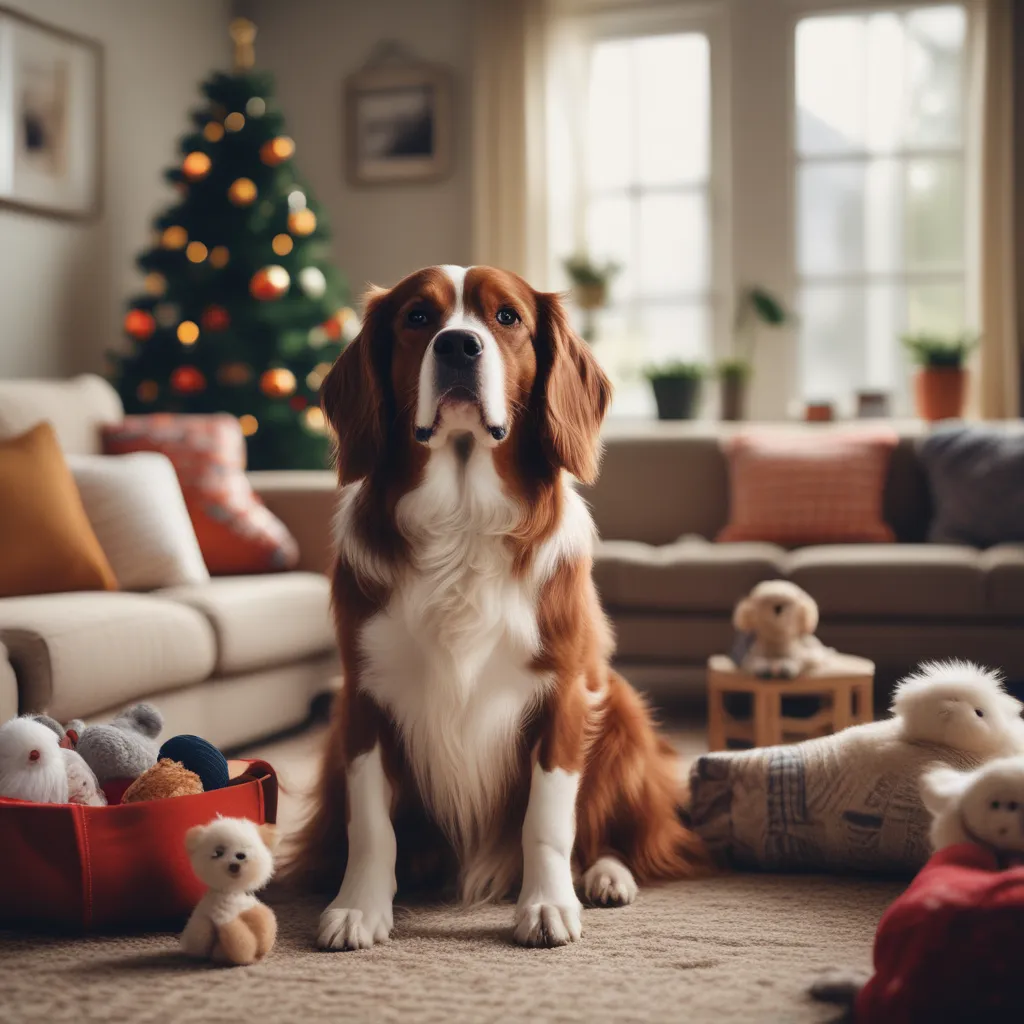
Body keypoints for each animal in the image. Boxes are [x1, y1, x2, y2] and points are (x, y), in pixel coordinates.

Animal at [286, 266, 704, 950]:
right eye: (417, 317)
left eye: (507, 317)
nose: (459, 345)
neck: (461, 518)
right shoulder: (363, 697)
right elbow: (371, 824)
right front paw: (359, 908)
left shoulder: (564, 694)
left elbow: (548, 819)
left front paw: (547, 905)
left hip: (621, 709)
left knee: (613, 834)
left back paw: (607, 876)